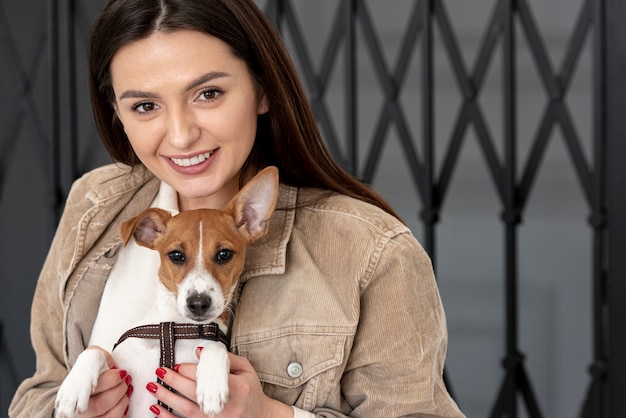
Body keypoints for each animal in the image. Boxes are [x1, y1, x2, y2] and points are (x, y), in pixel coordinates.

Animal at [53, 167, 278, 418]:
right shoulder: (119, 367)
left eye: (224, 254)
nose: (198, 303)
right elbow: (95, 352)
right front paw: (73, 390)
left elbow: (215, 348)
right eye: (176, 255)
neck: (174, 331)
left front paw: (212, 385)